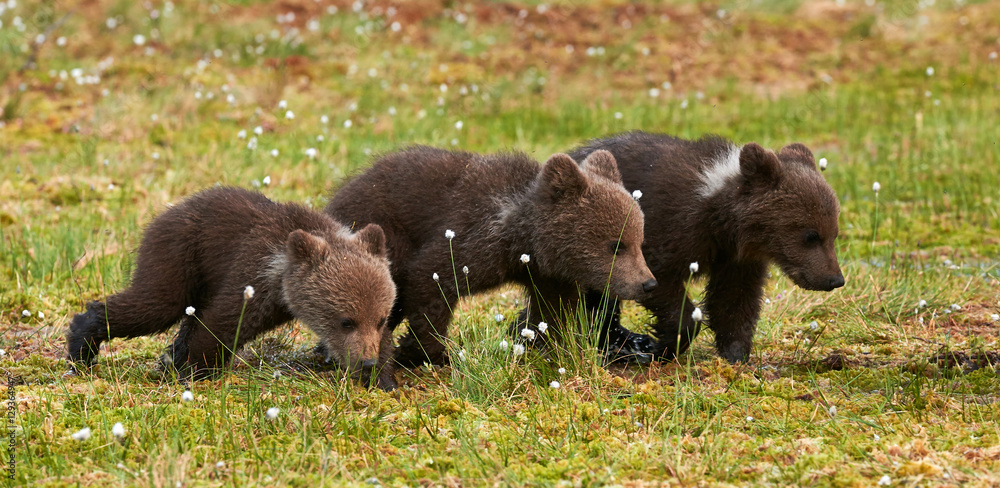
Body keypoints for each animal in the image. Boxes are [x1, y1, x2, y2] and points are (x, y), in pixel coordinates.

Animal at [66, 186, 399, 390]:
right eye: (346, 321)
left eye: (380, 318)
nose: (367, 361)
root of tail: (169, 209)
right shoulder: (254, 275)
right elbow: (223, 322)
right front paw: (195, 371)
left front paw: (383, 379)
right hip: (179, 253)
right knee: (155, 303)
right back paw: (82, 346)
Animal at [324, 146, 658, 370]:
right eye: (616, 245)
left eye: (639, 241)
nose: (648, 283)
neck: (522, 238)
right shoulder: (473, 237)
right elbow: (431, 280)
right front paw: (428, 352)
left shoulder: (547, 275)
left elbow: (552, 311)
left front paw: (547, 347)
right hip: (381, 234)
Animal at [567, 132, 844, 363]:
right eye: (812, 235)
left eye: (834, 234)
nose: (835, 279)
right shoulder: (663, 229)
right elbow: (660, 283)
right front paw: (661, 346)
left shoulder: (736, 258)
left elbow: (734, 299)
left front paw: (736, 356)